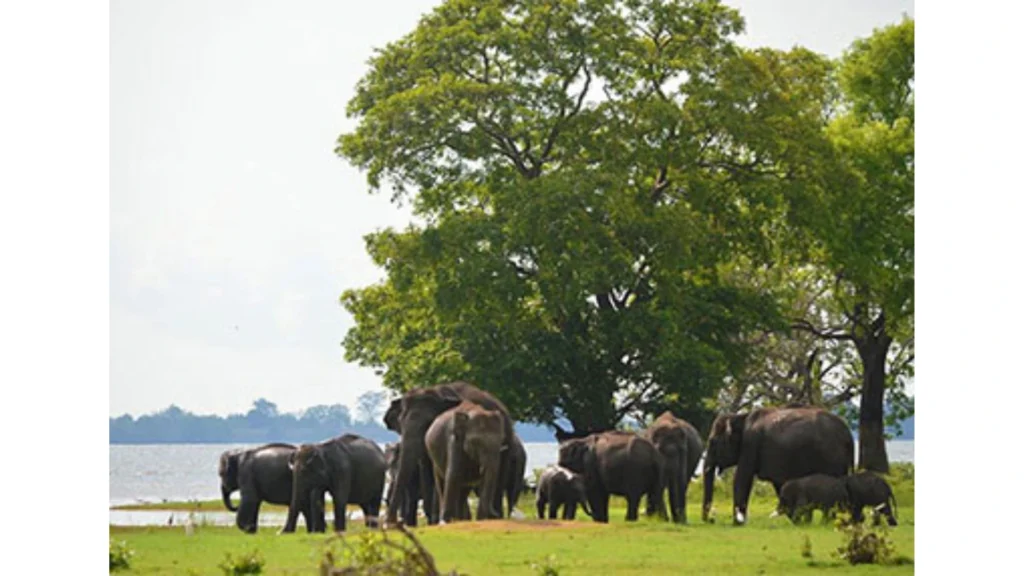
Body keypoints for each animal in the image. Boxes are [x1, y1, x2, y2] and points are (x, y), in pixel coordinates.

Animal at [385, 381, 518, 526]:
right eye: (400, 422)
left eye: (428, 422)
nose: (392, 523)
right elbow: (428, 472)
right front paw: (434, 520)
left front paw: (437, 520)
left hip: (508, 441)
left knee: (498, 477)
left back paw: (492, 517)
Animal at [701, 405, 855, 525]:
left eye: (712, 442)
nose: (711, 520)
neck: (740, 416)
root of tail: (848, 434)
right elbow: (779, 485)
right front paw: (797, 521)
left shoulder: (750, 444)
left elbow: (742, 479)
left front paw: (737, 524)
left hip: (832, 457)